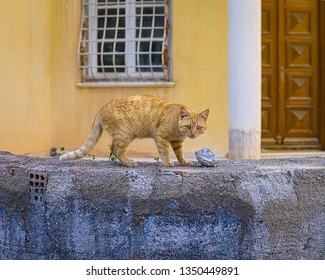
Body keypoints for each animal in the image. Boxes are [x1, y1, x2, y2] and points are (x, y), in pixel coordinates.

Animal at [59, 95, 209, 166]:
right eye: (189, 126)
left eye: (198, 127)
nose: (193, 134)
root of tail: (101, 108)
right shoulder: (161, 137)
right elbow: (165, 152)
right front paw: (167, 163)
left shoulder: (177, 142)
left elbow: (180, 154)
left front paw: (184, 162)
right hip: (125, 134)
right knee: (116, 149)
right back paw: (128, 162)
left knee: (113, 149)